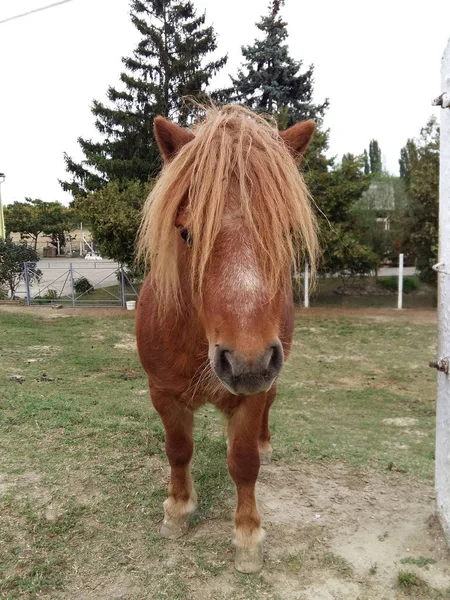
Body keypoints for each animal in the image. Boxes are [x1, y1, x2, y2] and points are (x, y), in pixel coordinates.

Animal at [135, 105, 318, 576]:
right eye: (186, 233)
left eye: (284, 231)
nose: (247, 363)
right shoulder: (163, 393)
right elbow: (178, 449)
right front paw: (177, 511)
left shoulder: (253, 395)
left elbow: (244, 463)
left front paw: (248, 536)